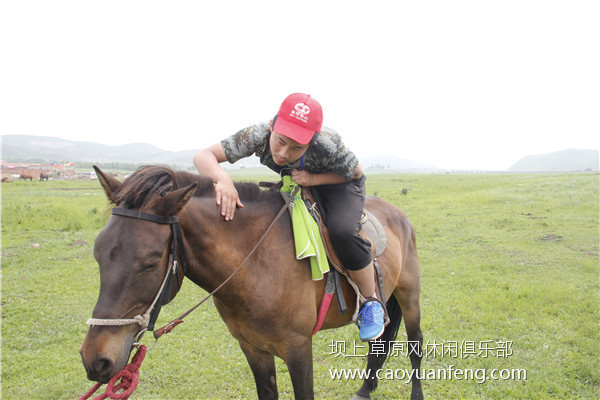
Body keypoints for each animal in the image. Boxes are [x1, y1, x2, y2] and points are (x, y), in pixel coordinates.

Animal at [79, 164, 422, 398]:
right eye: (97, 253)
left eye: (149, 262)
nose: (95, 359)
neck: (257, 264)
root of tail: (397, 214)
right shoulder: (253, 348)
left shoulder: (299, 348)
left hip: (409, 295)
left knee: (414, 345)